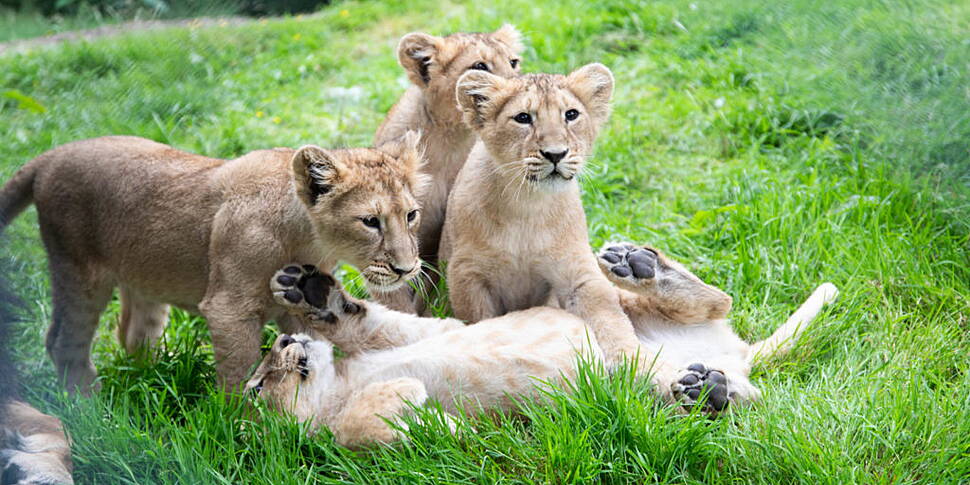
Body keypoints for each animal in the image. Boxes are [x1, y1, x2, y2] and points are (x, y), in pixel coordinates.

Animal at [0, 133, 425, 393]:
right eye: (370, 221)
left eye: (411, 215)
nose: (406, 269)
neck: (308, 239)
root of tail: (51, 155)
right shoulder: (228, 308)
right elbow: (239, 373)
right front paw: (243, 429)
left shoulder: (296, 310)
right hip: (78, 270)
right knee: (61, 341)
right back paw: (91, 408)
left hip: (142, 275)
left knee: (133, 334)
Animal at [245, 260, 837, 448]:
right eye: (256, 387)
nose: (283, 343)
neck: (341, 381)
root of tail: (736, 353)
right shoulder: (345, 435)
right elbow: (360, 428)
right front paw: (430, 416)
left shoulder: (429, 329)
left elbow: (364, 320)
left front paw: (311, 291)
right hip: (644, 386)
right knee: (739, 394)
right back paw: (704, 389)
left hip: (606, 306)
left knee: (717, 299)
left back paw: (640, 264)